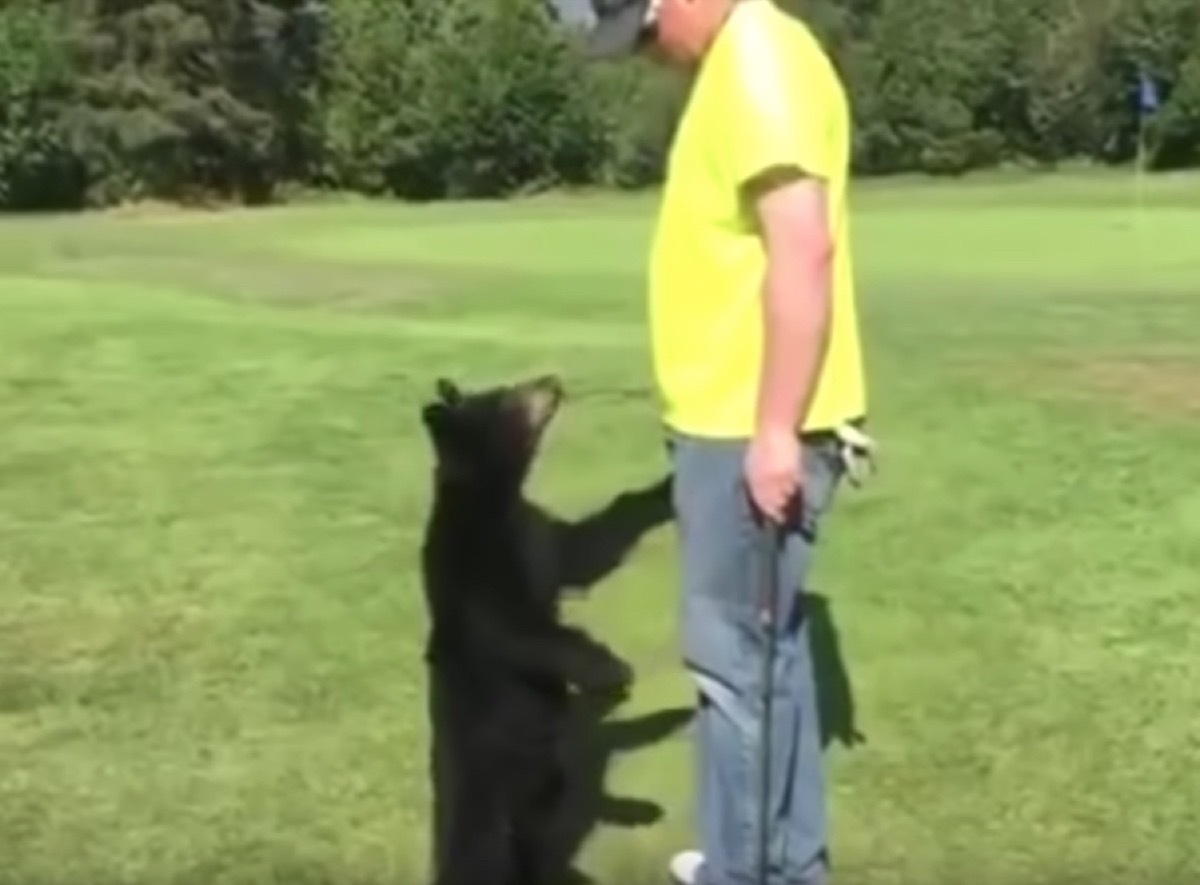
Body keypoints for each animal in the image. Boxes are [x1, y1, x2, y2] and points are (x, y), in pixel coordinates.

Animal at [418, 373, 635, 885]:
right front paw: (611, 671)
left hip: (543, 788)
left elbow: (594, 549)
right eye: (507, 396)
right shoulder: (474, 571)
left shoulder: (543, 537)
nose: (552, 379)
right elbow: (521, 632)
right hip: (483, 801)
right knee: (485, 855)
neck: (497, 499)